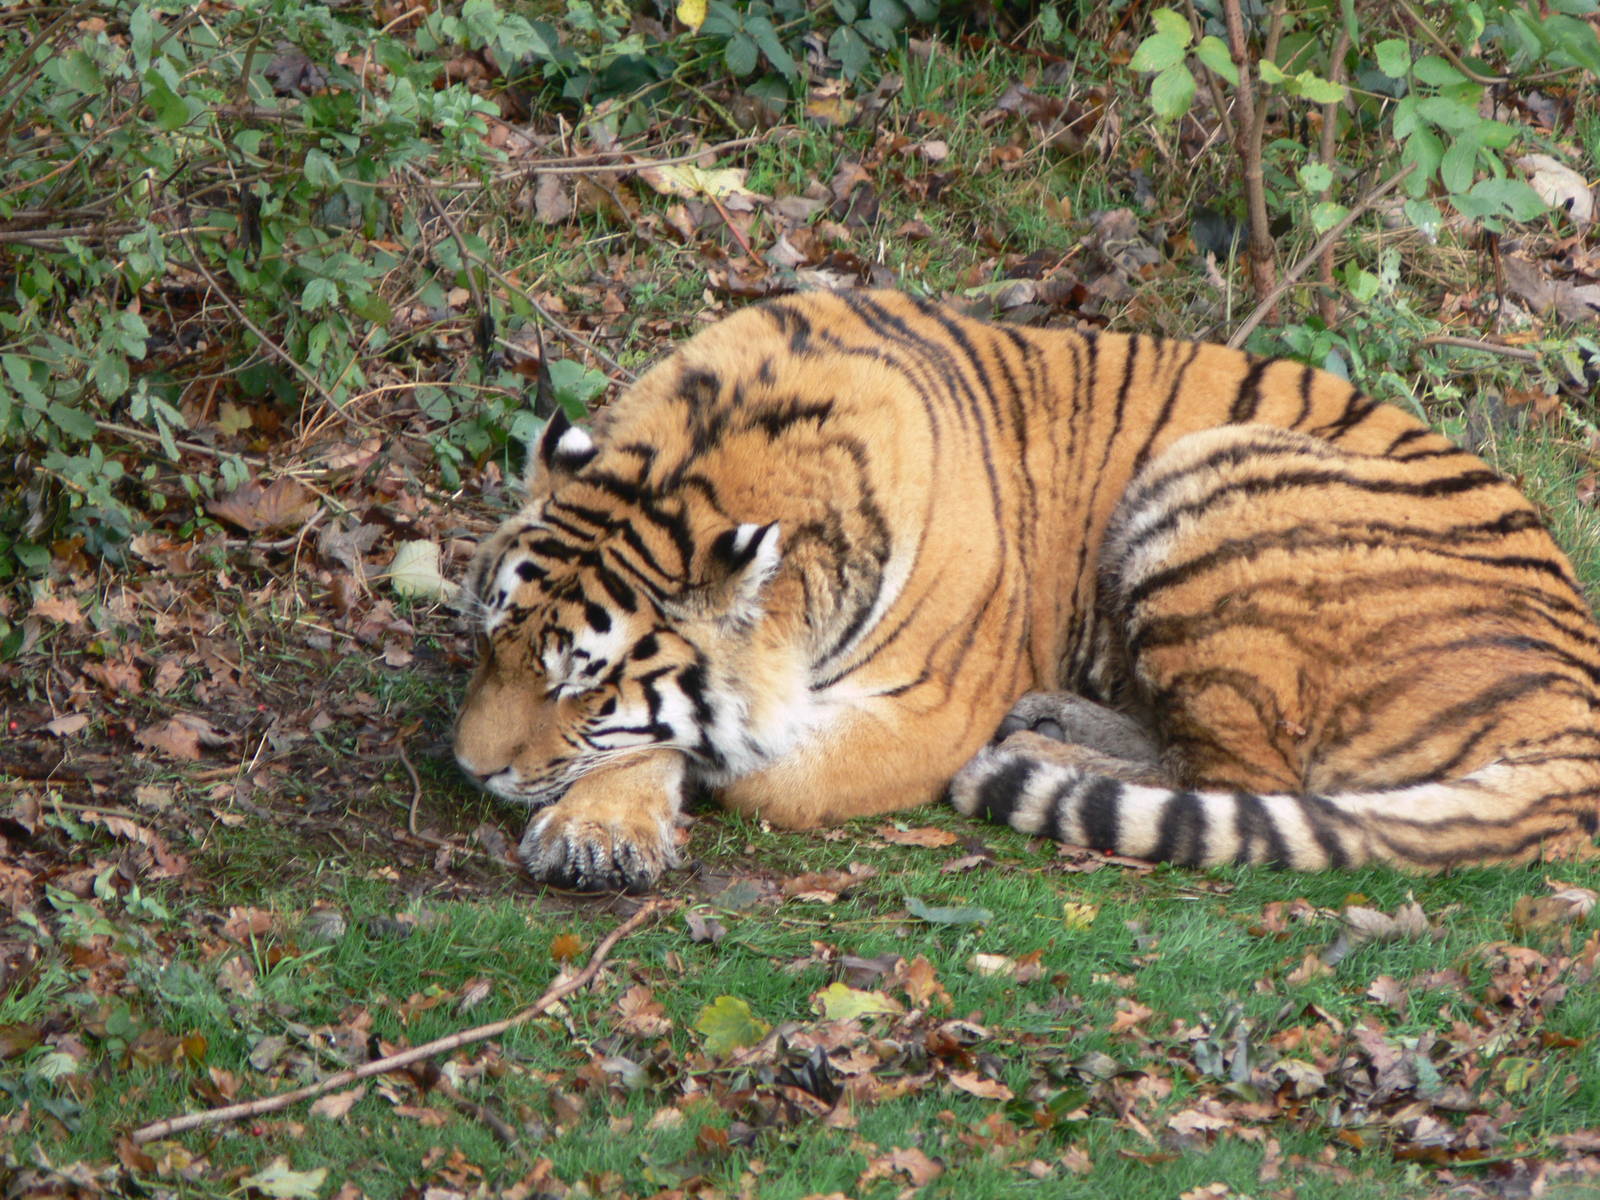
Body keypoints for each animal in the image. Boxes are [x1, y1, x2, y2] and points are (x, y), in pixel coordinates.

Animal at [454, 288, 1600, 891]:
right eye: (486, 641)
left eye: (582, 682)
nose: (468, 769)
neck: (715, 453)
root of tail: (1577, 709)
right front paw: (602, 829)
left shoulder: (925, 710)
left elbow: (738, 758)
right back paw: (1051, 720)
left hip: (1213, 475)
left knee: (1245, 777)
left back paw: (1034, 751)